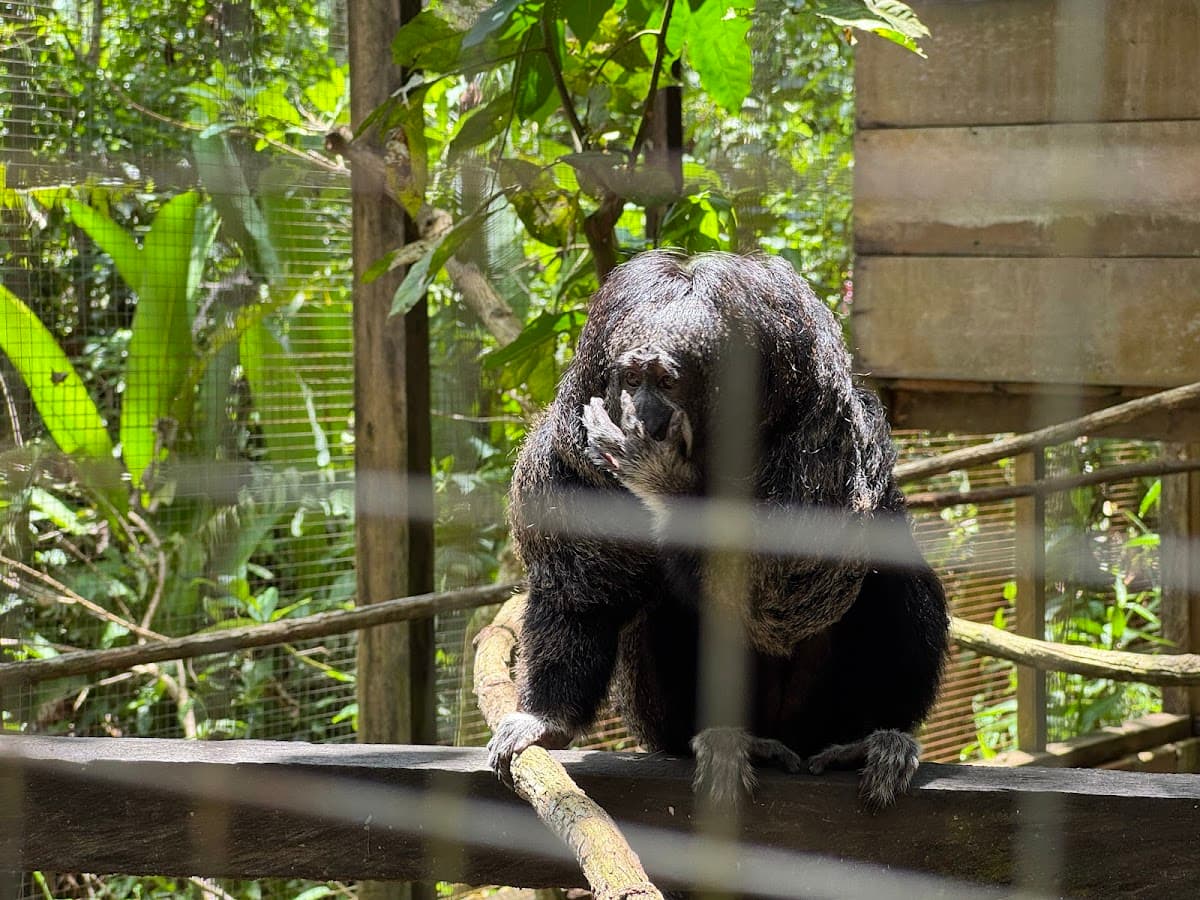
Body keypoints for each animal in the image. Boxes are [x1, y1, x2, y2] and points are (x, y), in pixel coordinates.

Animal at [488, 250, 948, 809]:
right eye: (631, 379)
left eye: (666, 383)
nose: (642, 416)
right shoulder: (566, 455)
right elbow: (579, 591)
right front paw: (546, 719)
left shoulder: (828, 436)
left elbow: (792, 592)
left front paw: (663, 478)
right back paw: (729, 739)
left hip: (824, 712)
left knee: (887, 568)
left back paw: (875, 736)